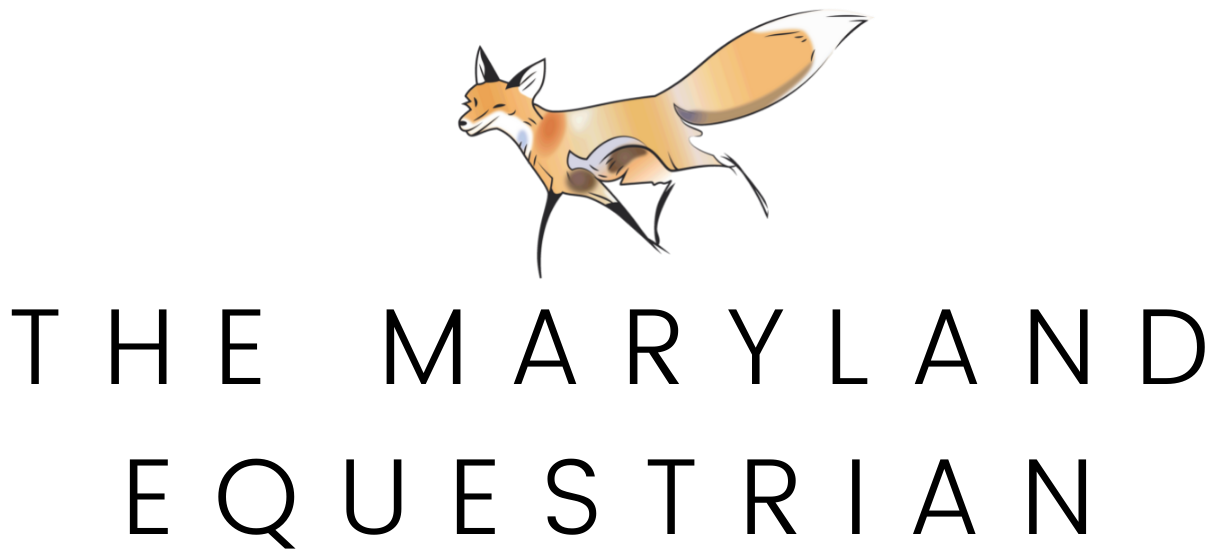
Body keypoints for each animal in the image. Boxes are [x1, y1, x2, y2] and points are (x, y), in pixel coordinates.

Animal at [456, 8, 876, 278]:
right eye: (470, 101)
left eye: (499, 106)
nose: (462, 124)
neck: (542, 134)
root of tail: (663, 98)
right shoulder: (567, 190)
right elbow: (549, 231)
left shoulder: (587, 185)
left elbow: (603, 223)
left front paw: (654, 252)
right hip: (647, 168)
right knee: (677, 179)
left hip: (673, 158)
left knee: (724, 160)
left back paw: (762, 209)